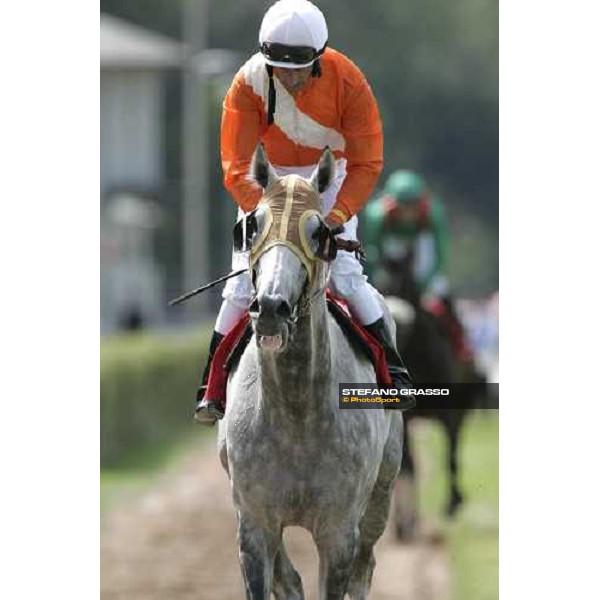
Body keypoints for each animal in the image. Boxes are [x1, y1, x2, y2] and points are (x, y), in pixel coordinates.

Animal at [216, 146, 404, 600]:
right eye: (253, 226)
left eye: (318, 231)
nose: (271, 307)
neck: (296, 411)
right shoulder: (254, 523)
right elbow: (273, 577)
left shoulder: (338, 531)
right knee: (289, 578)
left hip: (383, 487)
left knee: (365, 566)